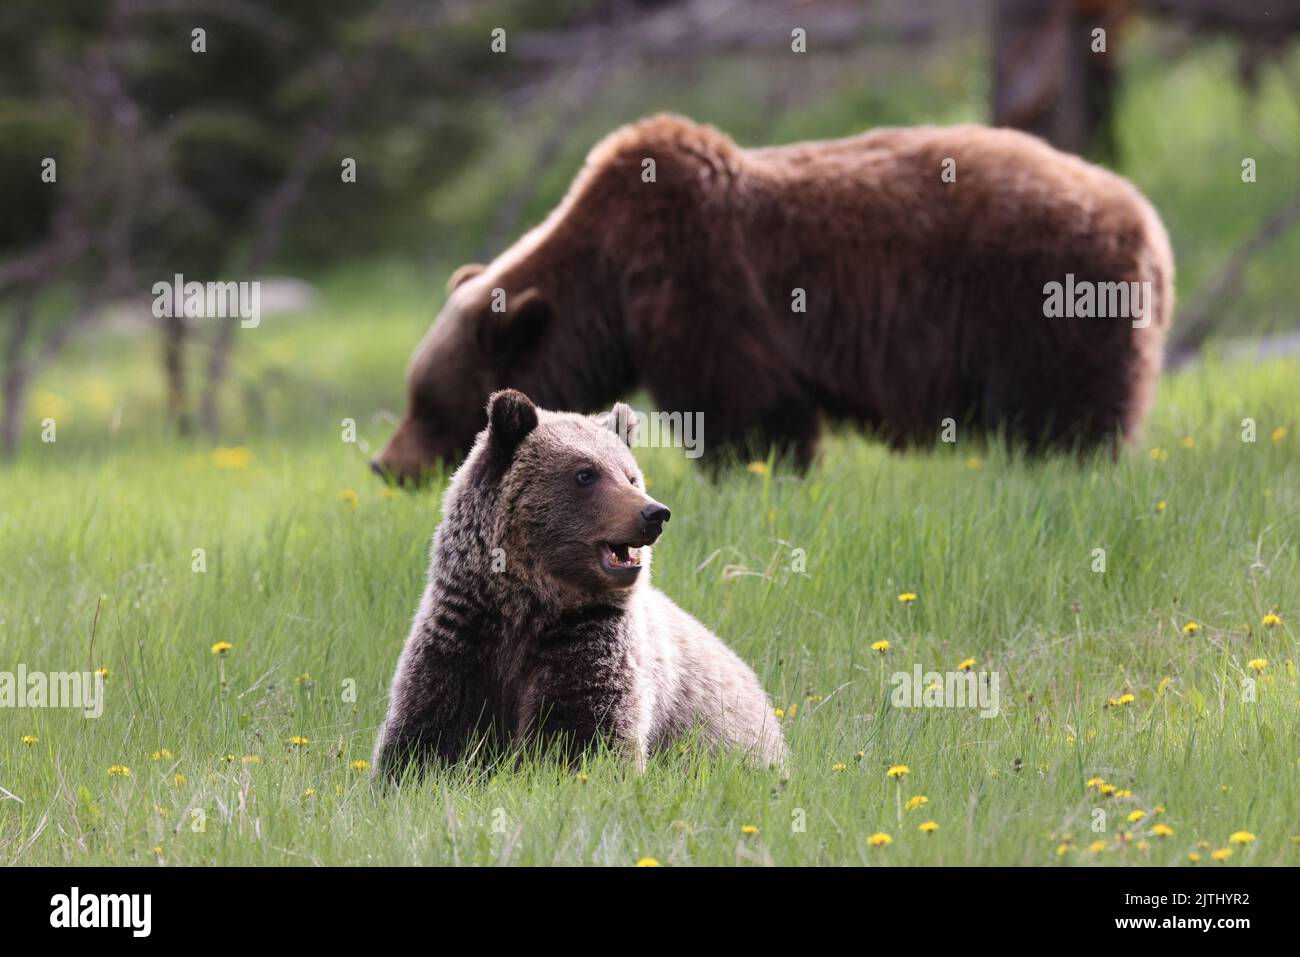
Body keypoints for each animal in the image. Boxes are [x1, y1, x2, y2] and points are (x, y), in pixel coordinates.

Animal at [373, 114, 1174, 483]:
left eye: (428, 401)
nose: (385, 464)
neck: (607, 285)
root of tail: (1150, 223)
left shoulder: (698, 279)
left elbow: (744, 404)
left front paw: (757, 472)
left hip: (1049, 305)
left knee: (1068, 418)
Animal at [373, 389, 786, 780]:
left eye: (630, 475)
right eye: (585, 473)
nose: (654, 513)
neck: (525, 606)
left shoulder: (589, 641)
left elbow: (586, 735)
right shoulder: (463, 637)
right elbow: (425, 732)